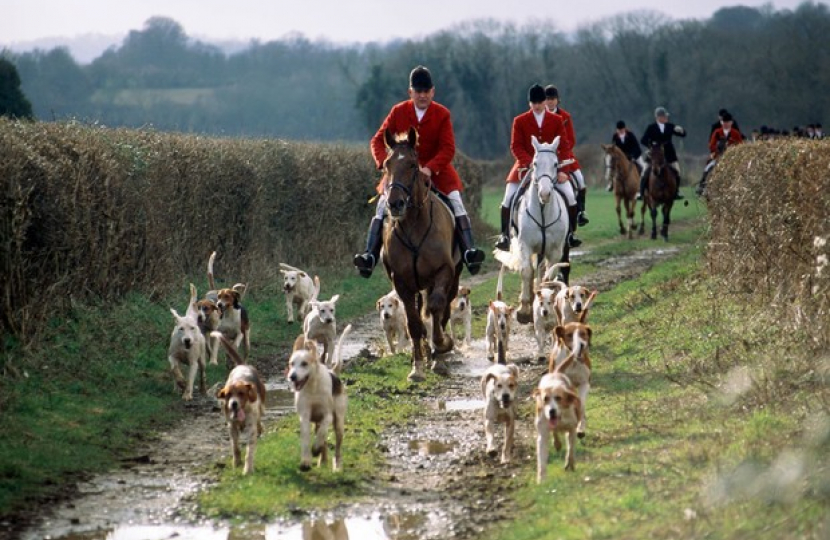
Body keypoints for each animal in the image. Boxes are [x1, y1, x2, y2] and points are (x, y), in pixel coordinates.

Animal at [214, 334, 266, 476]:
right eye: (228, 395)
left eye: (241, 393)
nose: (234, 404)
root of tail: (242, 365)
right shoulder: (231, 426)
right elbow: (235, 447)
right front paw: (236, 463)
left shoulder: (251, 427)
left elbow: (249, 451)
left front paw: (247, 469)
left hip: (260, 407)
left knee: (259, 421)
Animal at [288, 324, 352, 472]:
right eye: (291, 364)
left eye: (304, 363)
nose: (292, 377)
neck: (312, 388)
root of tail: (333, 372)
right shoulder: (305, 416)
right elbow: (306, 440)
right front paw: (306, 461)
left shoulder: (327, 415)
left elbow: (322, 432)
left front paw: (315, 449)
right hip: (316, 422)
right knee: (323, 440)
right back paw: (322, 460)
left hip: (339, 422)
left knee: (336, 445)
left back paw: (337, 465)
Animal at [382, 126, 462, 382]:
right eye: (386, 164)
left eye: (412, 165)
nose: (395, 203)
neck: (414, 225)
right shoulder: (402, 282)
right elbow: (414, 323)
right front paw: (416, 367)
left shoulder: (443, 272)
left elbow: (437, 309)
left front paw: (442, 346)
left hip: (452, 279)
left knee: (442, 310)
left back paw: (438, 354)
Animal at [498, 137, 576, 326]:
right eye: (534, 163)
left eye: (555, 164)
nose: (545, 193)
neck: (542, 211)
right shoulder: (525, 245)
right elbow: (526, 272)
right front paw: (524, 310)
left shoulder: (555, 250)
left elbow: (548, 276)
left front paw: (544, 300)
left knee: (544, 271)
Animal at [536, 352, 580, 484]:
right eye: (545, 399)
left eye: (558, 398)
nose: (552, 411)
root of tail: (556, 373)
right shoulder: (542, 434)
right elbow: (541, 459)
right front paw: (541, 479)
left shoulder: (572, 428)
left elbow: (571, 449)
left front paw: (570, 464)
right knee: (555, 433)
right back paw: (557, 443)